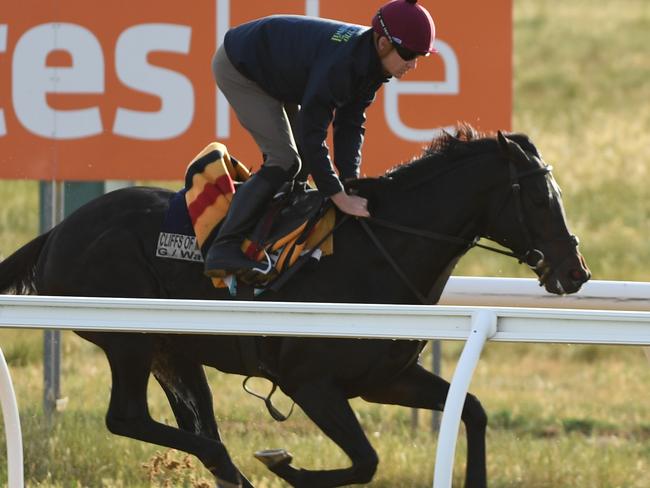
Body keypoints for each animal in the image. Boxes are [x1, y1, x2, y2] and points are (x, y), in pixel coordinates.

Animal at [0, 127, 588, 488]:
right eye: (541, 199)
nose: (575, 272)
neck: (379, 250)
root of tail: (59, 232)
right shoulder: (312, 383)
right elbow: (366, 460)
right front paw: (283, 464)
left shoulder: (385, 378)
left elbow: (474, 411)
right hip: (129, 339)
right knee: (126, 417)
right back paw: (229, 466)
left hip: (174, 350)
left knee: (195, 426)